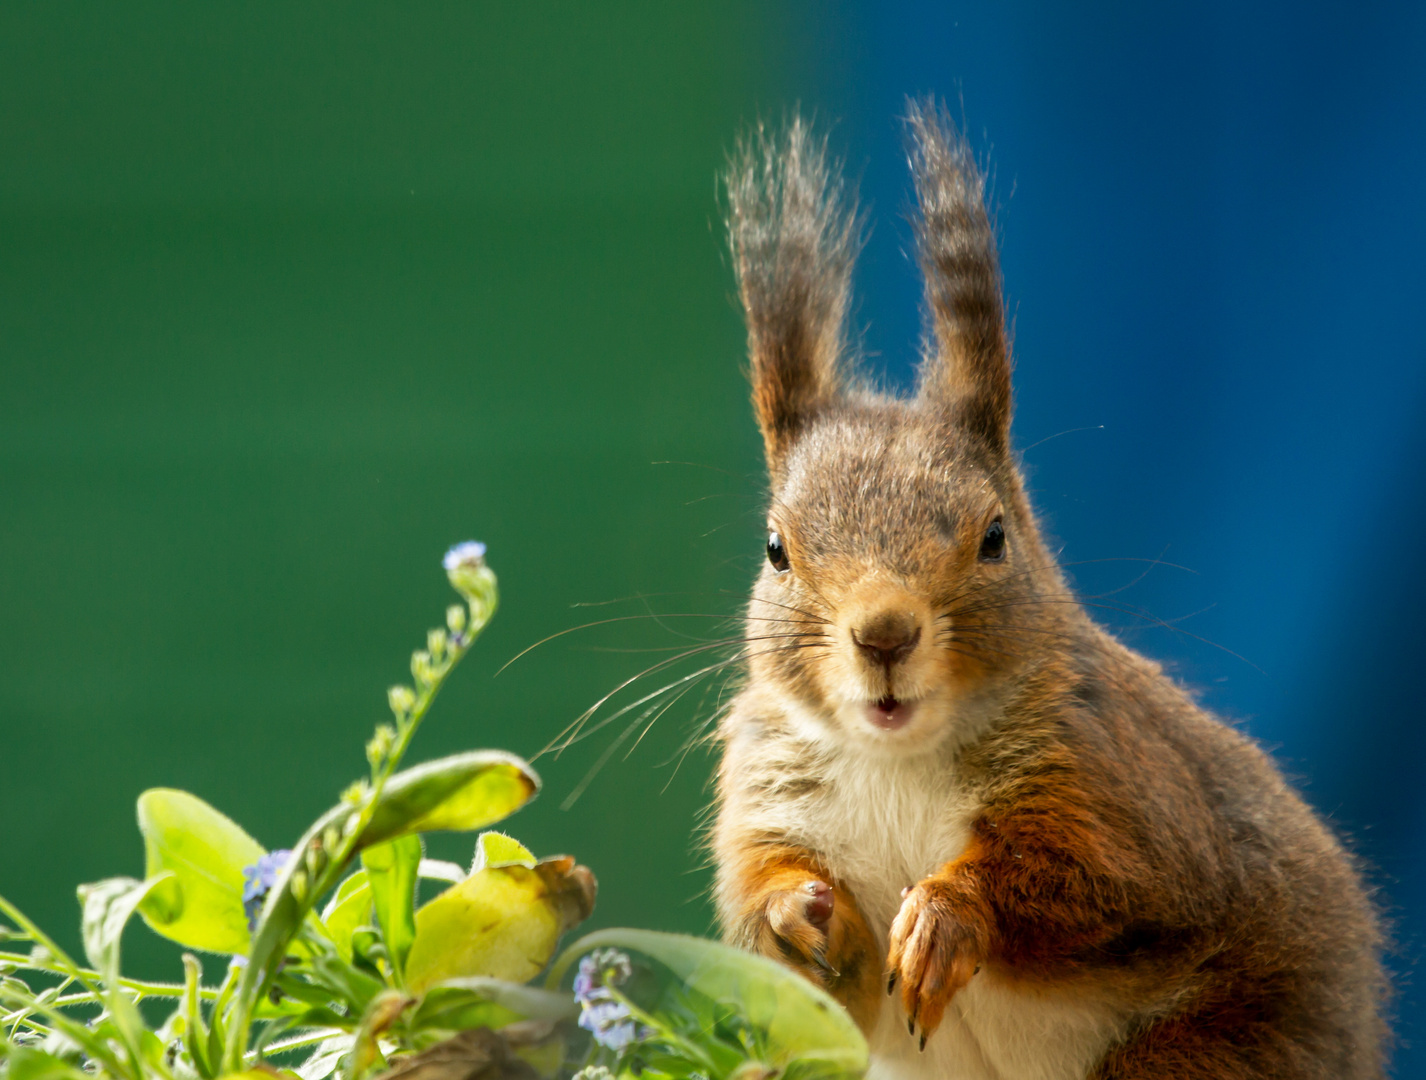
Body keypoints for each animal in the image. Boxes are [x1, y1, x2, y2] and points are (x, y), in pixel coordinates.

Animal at [707, 103, 1386, 1078]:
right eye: (775, 550)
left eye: (995, 538)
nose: (884, 635)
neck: (897, 759)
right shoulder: (763, 798)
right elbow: (780, 930)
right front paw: (796, 912)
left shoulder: (1113, 779)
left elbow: (1086, 879)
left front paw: (946, 919)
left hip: (1220, 1045)